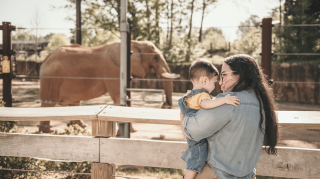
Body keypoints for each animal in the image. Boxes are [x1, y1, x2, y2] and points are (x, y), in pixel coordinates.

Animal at [37, 41, 180, 133]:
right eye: (155, 57)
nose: (164, 105)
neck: (135, 43)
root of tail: (46, 59)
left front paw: (131, 131)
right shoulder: (114, 70)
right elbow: (118, 99)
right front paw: (127, 132)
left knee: (74, 103)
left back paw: (82, 128)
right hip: (51, 80)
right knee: (48, 104)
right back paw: (48, 132)